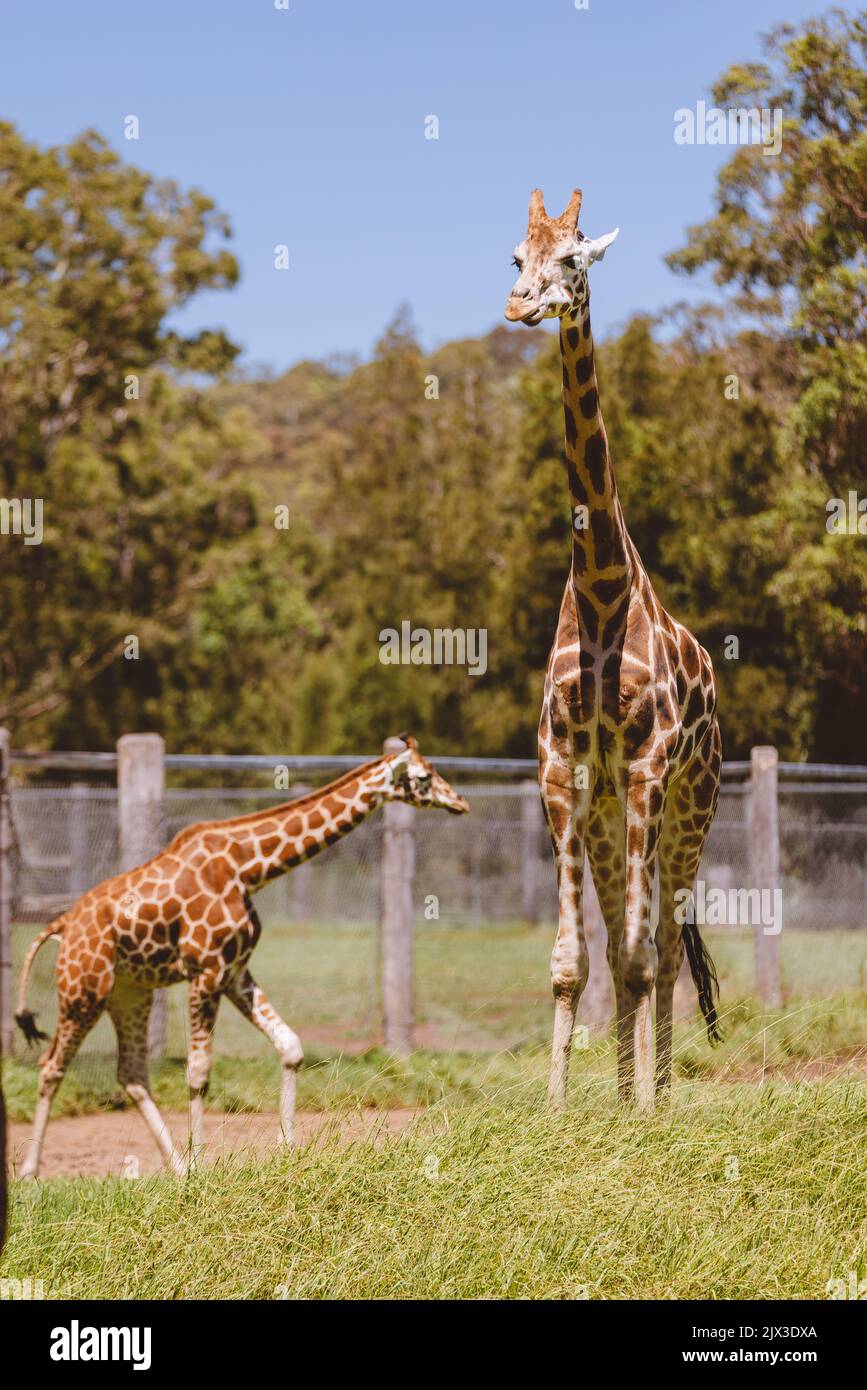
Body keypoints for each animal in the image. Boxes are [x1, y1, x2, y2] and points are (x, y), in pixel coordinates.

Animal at [15, 735, 468, 1178]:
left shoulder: (234, 972)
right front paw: (202, 1165)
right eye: (425, 777)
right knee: (51, 1066)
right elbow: (198, 1073)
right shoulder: (206, 970)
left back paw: (174, 1166)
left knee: (131, 1072)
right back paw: (30, 1171)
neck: (247, 868)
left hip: (129, 993)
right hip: (83, 993)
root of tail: (62, 925)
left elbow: (290, 1046)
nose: (460, 801)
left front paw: (285, 1148)